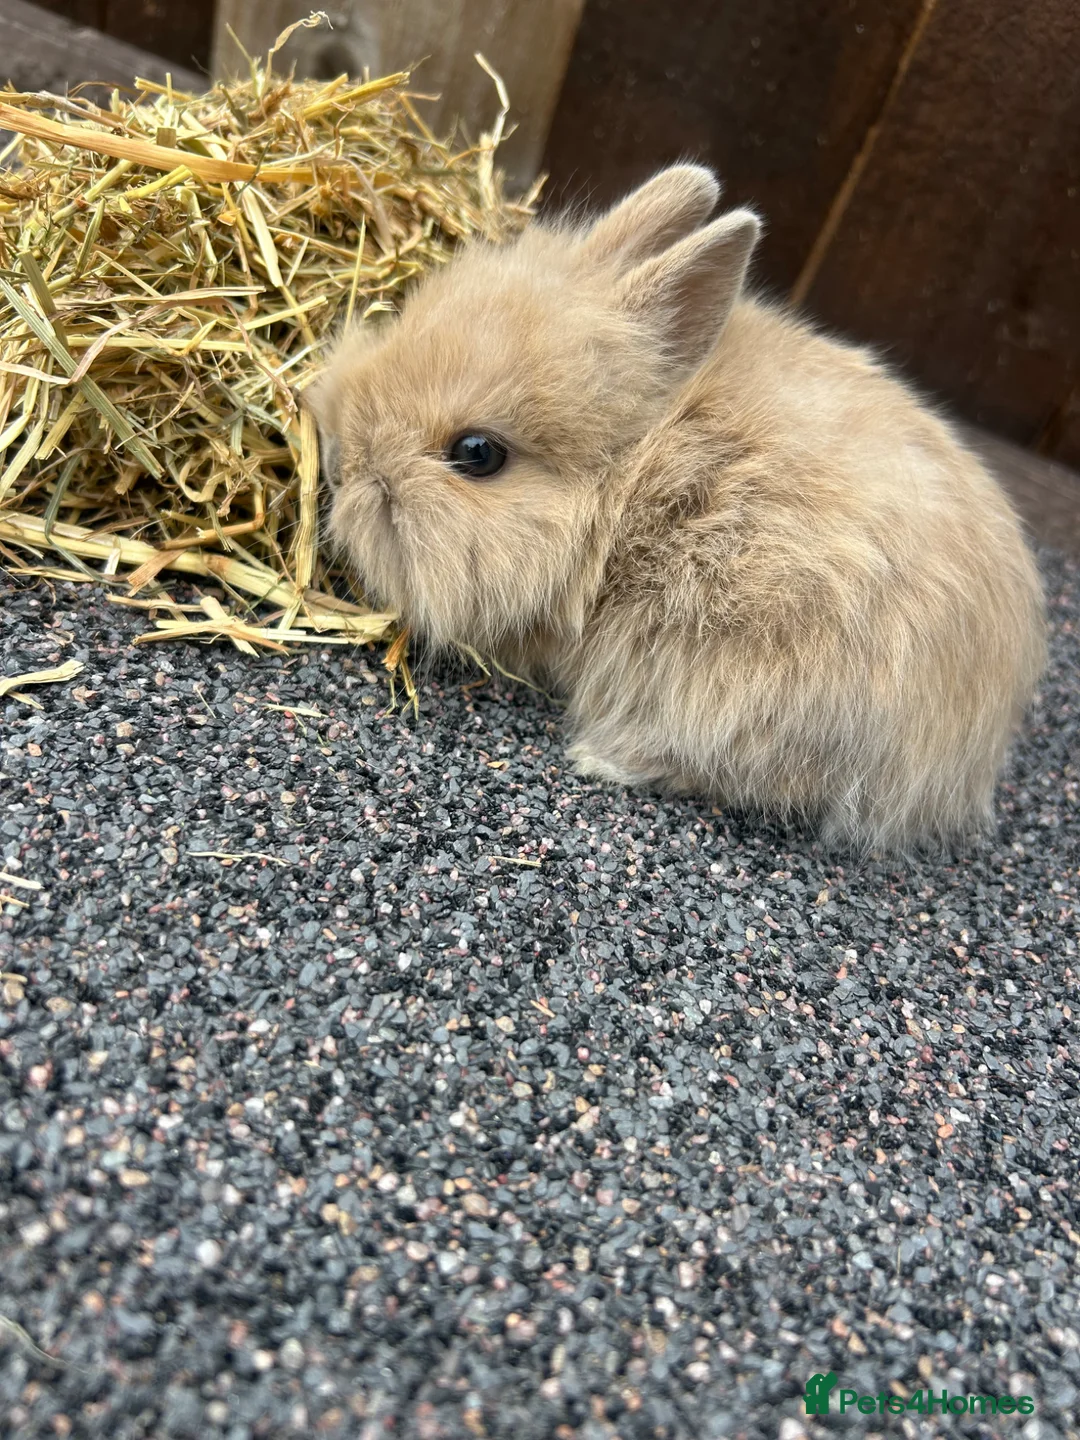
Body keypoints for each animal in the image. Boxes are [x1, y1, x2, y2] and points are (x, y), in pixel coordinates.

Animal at [309, 164, 1046, 852]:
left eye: (478, 453)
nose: (340, 464)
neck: (628, 484)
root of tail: (967, 751)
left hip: (747, 690)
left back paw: (598, 756)